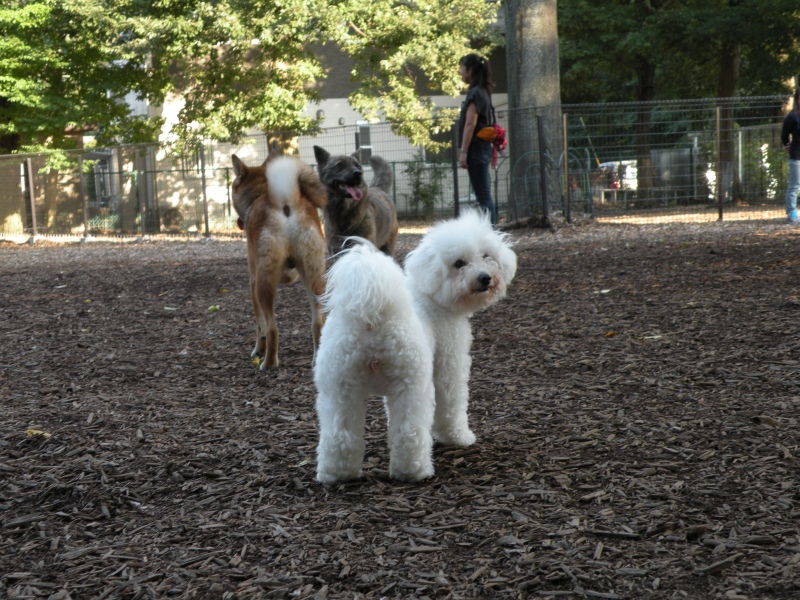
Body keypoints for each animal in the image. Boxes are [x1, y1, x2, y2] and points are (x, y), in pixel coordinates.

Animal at [231, 154, 328, 370]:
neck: (258, 194)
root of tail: (286, 202)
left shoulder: (253, 281)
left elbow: (260, 327)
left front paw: (258, 350)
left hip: (264, 283)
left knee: (272, 328)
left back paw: (268, 363)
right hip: (314, 277)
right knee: (318, 323)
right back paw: (317, 359)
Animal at [312, 211, 520, 482]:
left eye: (486, 256)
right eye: (459, 263)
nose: (485, 278)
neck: (431, 296)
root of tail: (373, 316)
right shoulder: (448, 366)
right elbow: (452, 406)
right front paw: (458, 438)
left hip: (340, 388)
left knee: (339, 434)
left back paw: (338, 474)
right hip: (411, 383)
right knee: (409, 431)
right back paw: (414, 471)